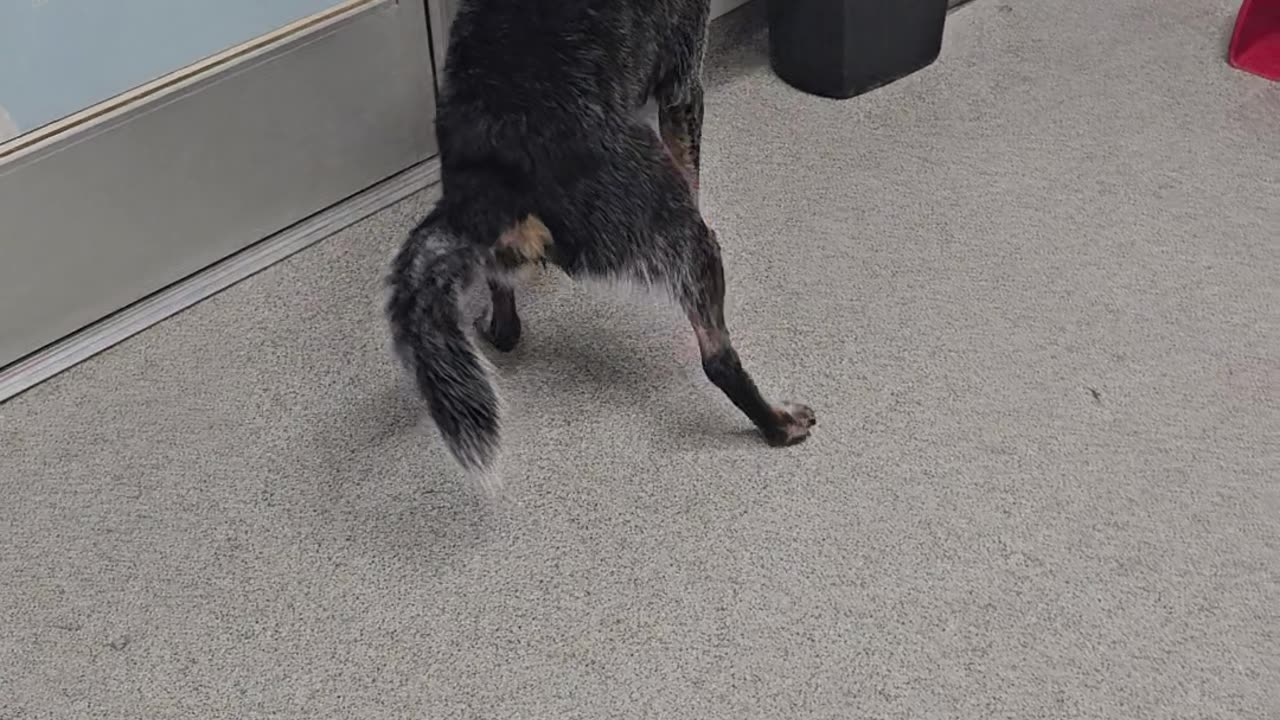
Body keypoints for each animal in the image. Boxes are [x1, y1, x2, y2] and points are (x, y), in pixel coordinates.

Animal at [384, 0, 814, 468]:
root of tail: (491, 179)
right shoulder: (683, 86)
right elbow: (691, 170)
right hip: (689, 241)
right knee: (718, 359)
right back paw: (779, 424)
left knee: (507, 320)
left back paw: (495, 327)